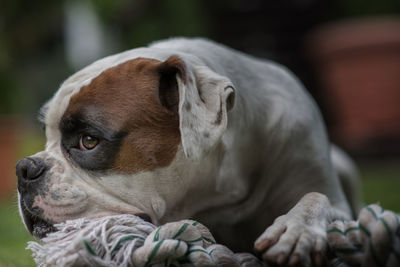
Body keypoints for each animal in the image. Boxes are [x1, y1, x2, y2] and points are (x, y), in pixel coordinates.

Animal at [16, 38, 360, 267]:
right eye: (47, 136)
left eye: (88, 141)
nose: (24, 168)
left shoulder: (330, 192)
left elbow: (318, 197)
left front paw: (298, 230)